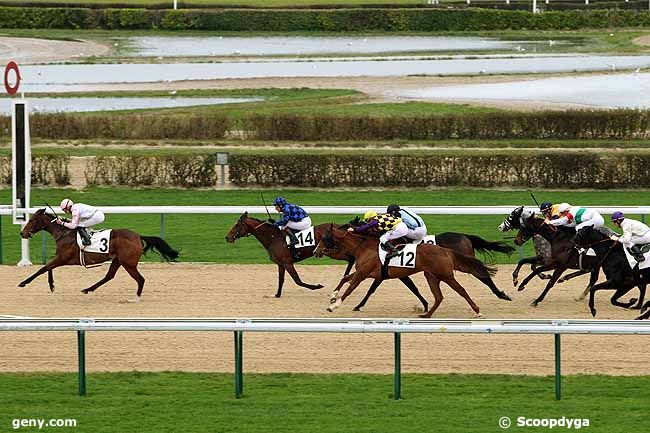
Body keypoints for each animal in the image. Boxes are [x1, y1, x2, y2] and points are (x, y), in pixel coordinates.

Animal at [19, 208, 178, 300]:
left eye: (32, 220)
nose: (22, 233)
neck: (64, 233)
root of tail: (138, 236)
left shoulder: (62, 258)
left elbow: (43, 268)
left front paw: (23, 282)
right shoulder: (60, 258)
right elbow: (48, 268)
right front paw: (52, 285)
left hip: (128, 263)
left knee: (140, 279)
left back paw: (136, 298)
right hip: (118, 260)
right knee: (109, 276)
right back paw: (87, 289)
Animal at [314, 226, 512, 318]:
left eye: (324, 238)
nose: (316, 251)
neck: (364, 246)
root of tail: (446, 250)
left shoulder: (365, 274)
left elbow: (351, 288)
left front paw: (335, 305)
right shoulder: (369, 273)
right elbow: (345, 279)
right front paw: (333, 296)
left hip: (447, 274)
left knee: (465, 287)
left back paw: (481, 309)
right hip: (433, 275)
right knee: (440, 296)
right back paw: (427, 314)